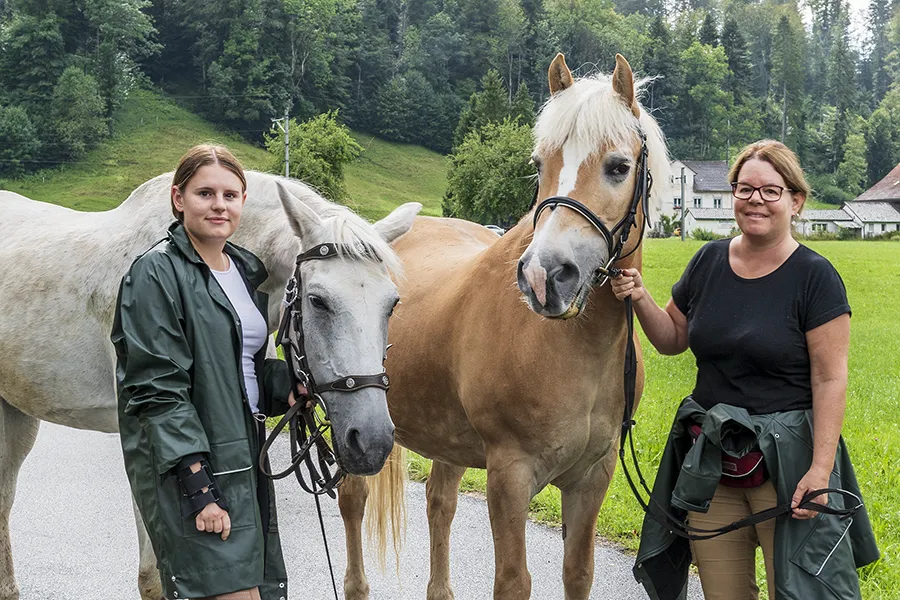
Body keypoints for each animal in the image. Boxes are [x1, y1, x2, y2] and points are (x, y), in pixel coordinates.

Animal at [338, 54, 668, 596]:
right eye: (539, 164)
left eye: (618, 167)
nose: (543, 276)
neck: (573, 349)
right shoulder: (509, 476)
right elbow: (513, 581)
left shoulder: (592, 478)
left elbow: (578, 573)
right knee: (353, 503)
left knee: (439, 504)